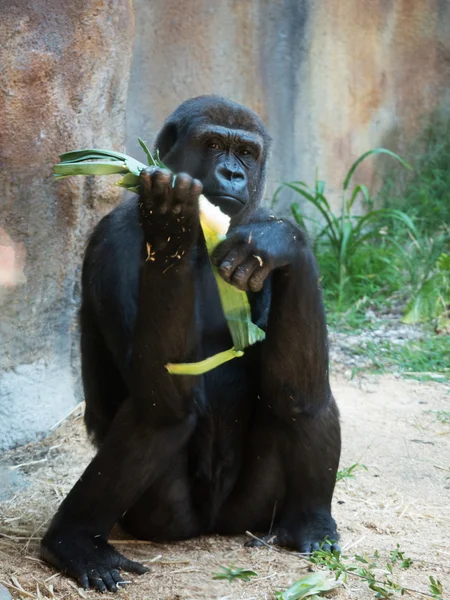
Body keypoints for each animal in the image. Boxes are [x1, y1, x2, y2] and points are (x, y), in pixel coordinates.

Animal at [42, 97, 342, 592]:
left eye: (246, 153)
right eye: (214, 145)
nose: (233, 174)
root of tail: (211, 527)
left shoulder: (252, 229)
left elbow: (290, 381)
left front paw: (282, 242)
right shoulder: (114, 241)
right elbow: (158, 390)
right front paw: (170, 227)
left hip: (250, 515)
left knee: (303, 396)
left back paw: (310, 521)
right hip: (166, 520)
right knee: (161, 413)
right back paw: (72, 540)